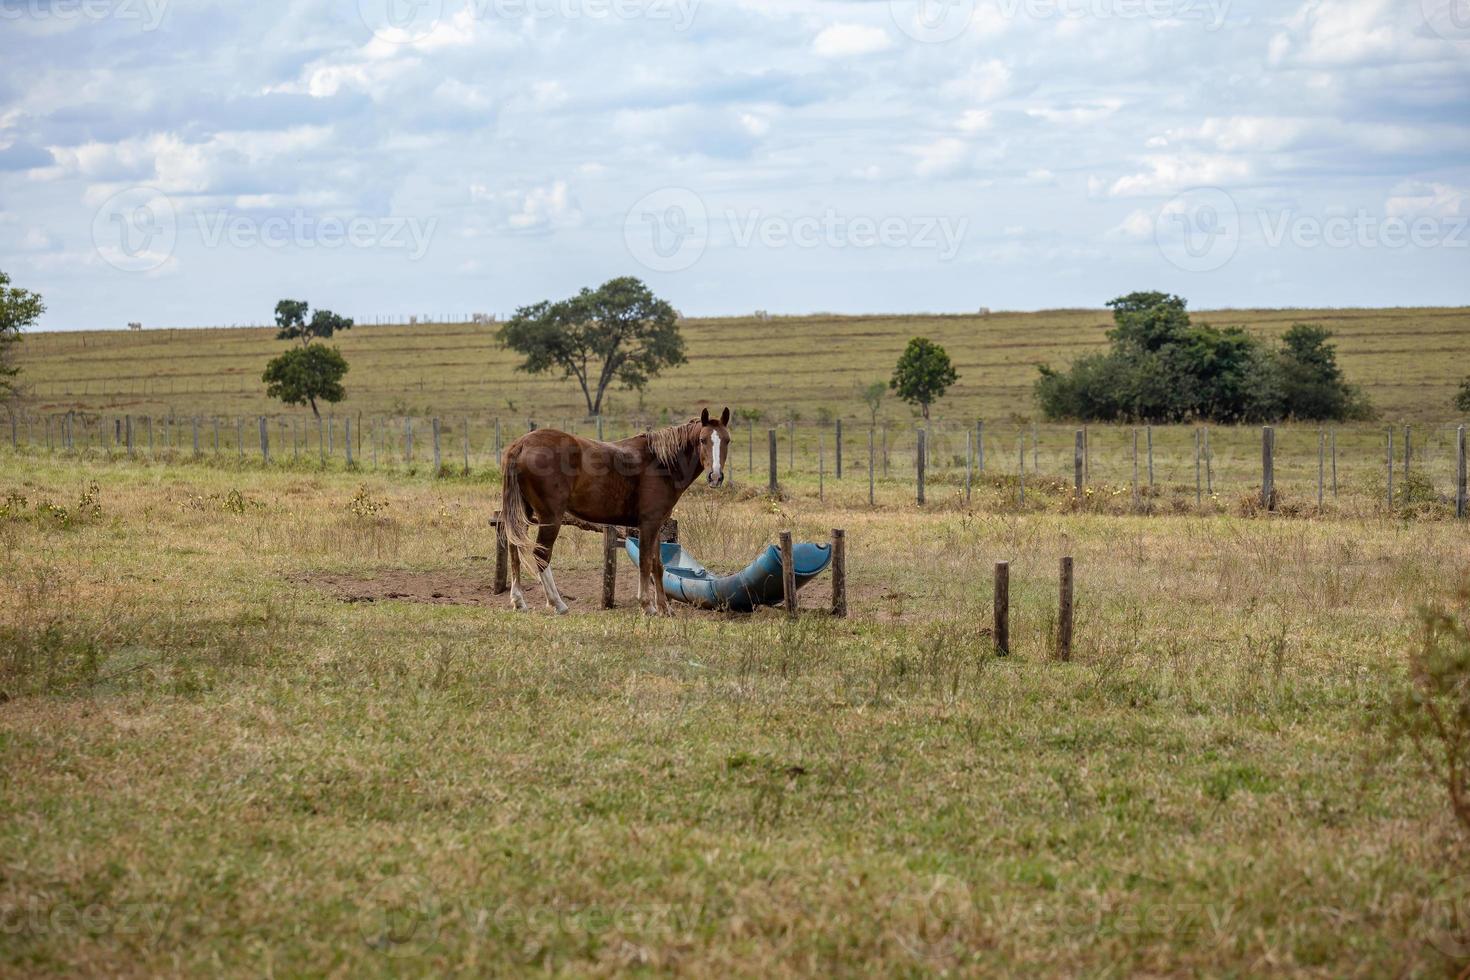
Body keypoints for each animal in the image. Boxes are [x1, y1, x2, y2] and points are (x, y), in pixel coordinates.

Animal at [502, 405, 732, 614]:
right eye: (702, 440)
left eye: (727, 440)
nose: (715, 476)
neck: (661, 463)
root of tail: (521, 444)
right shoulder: (648, 524)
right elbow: (645, 561)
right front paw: (647, 605)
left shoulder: (657, 524)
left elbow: (657, 565)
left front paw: (665, 608)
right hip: (551, 517)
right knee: (541, 554)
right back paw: (557, 603)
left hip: (524, 514)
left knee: (514, 548)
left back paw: (518, 600)